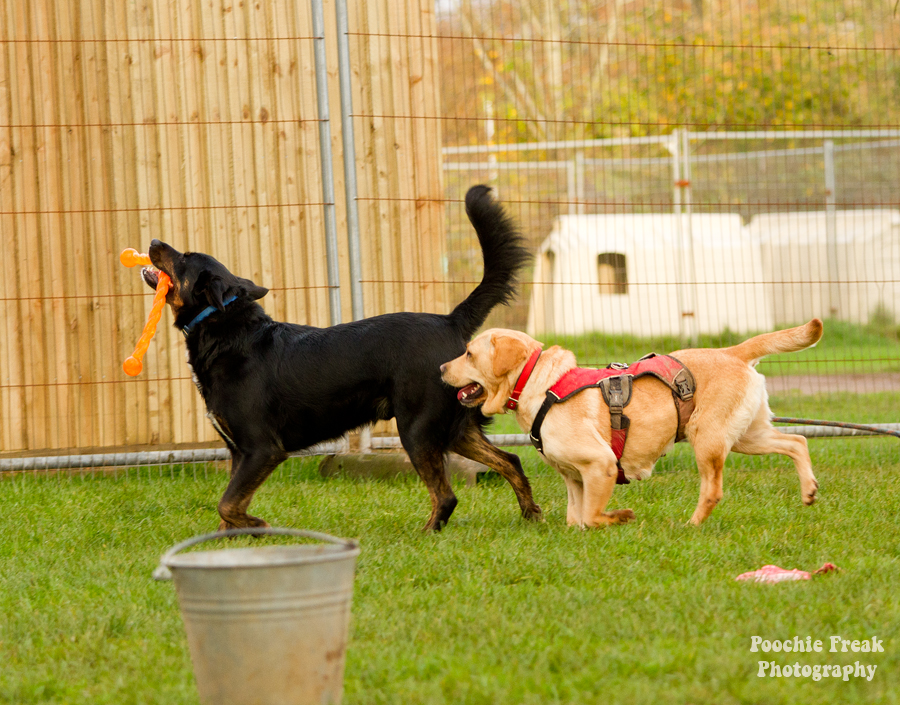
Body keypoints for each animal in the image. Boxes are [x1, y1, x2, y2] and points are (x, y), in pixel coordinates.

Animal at [145, 186, 540, 528]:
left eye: (183, 258)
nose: (152, 241)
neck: (226, 328)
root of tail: (449, 320)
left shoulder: (262, 450)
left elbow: (227, 504)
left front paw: (258, 526)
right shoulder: (239, 453)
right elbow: (228, 511)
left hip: (417, 429)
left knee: (446, 496)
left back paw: (430, 532)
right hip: (455, 428)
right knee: (511, 460)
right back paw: (531, 515)